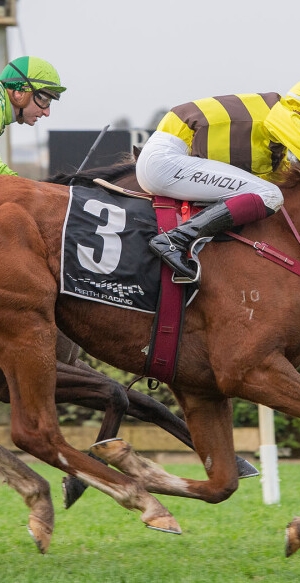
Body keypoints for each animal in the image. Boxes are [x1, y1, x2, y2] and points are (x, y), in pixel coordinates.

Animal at [0, 160, 300, 556]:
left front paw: (130, 461)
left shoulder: (200, 384)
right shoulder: (249, 367)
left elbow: (221, 481)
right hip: (27, 324)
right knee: (36, 432)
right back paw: (139, 500)